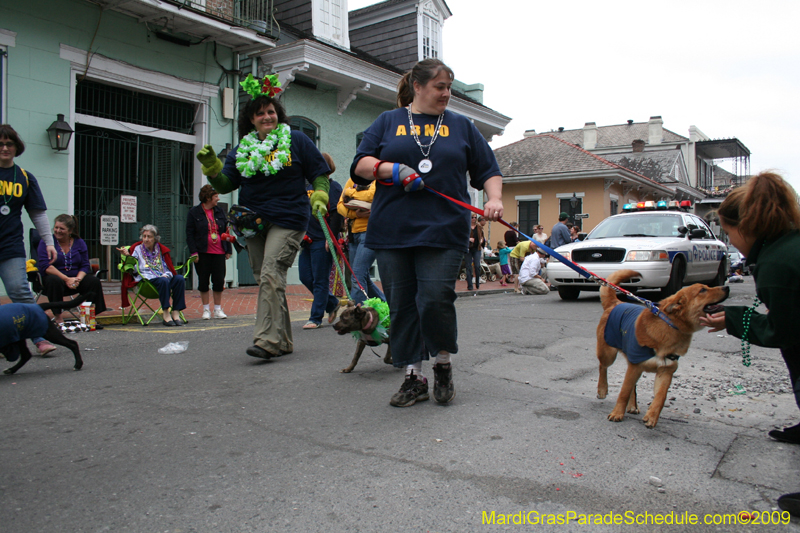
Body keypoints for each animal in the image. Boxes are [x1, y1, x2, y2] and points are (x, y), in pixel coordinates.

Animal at [596, 270, 728, 428]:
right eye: (702, 290)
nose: (726, 287)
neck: (670, 325)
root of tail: (616, 303)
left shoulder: (665, 370)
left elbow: (660, 396)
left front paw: (652, 416)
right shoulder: (635, 366)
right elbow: (624, 392)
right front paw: (617, 413)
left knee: (633, 386)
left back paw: (632, 405)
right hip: (608, 354)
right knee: (603, 367)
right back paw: (602, 389)